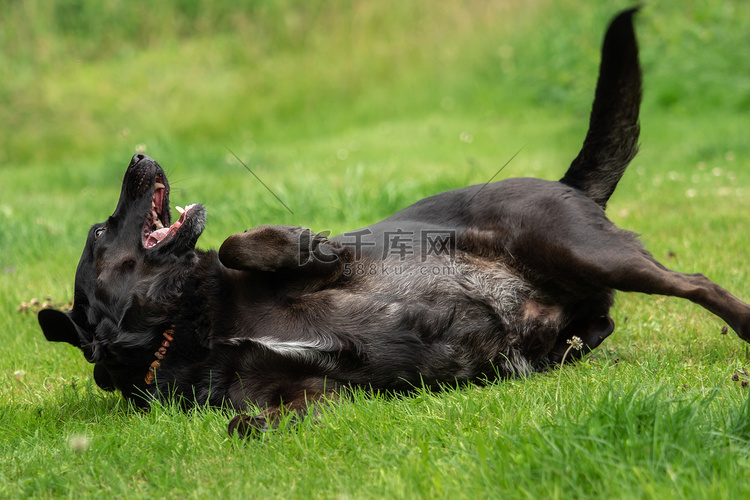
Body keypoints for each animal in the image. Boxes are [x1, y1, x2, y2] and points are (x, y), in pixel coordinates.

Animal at [36, 9, 750, 436]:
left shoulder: (347, 259)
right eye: (100, 234)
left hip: (579, 248)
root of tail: (567, 184)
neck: (188, 325)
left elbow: (243, 244)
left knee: (697, 283)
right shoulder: (306, 389)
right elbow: (244, 422)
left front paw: (304, 243)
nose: (137, 154)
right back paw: (547, 353)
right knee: (598, 324)